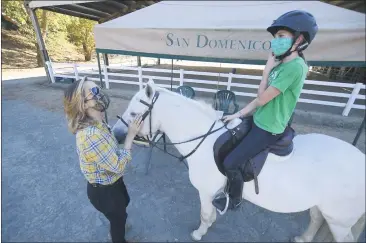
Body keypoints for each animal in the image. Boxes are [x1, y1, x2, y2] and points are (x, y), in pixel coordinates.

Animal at [113, 79, 364, 241]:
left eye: (134, 114)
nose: (115, 134)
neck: (205, 139)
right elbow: (211, 214)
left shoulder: (205, 191)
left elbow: (205, 214)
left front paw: (199, 233)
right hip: (322, 208)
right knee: (315, 220)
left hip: (340, 221)